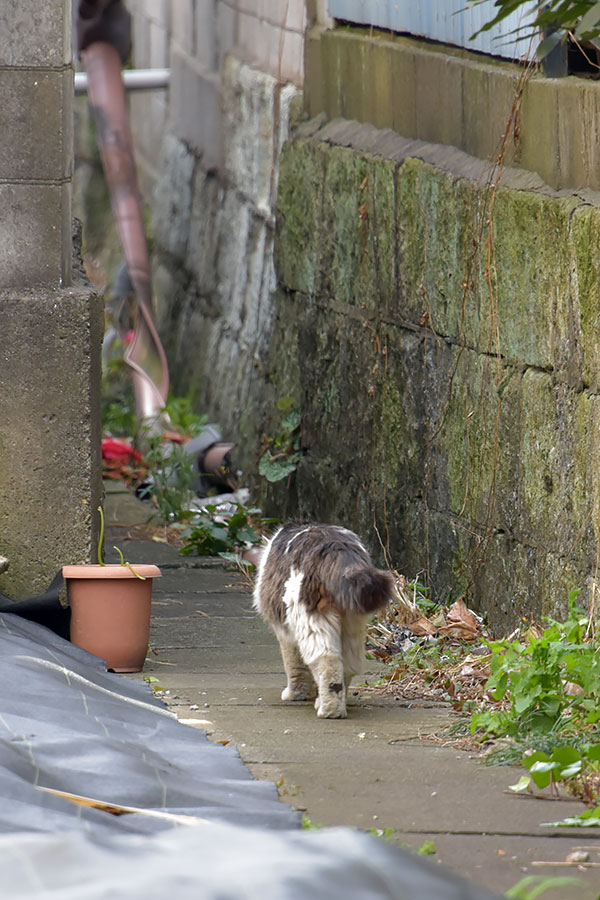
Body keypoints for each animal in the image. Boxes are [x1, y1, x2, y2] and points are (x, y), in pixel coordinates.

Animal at [253, 520, 394, 716]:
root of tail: (337, 548)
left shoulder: (285, 633)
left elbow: (294, 666)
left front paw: (296, 694)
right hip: (351, 625)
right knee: (347, 668)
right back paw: (331, 703)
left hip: (312, 622)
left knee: (328, 663)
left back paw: (329, 710)